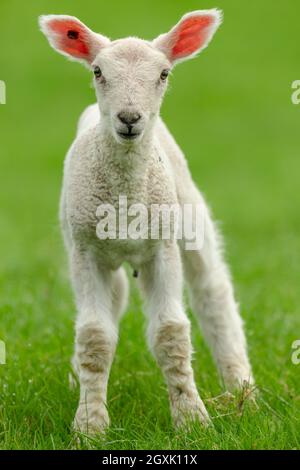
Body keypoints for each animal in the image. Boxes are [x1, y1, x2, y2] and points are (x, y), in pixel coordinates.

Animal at [39, 10, 253, 436]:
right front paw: (90, 423)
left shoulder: (161, 247)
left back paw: (242, 390)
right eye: (98, 71)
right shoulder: (86, 250)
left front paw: (192, 419)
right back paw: (76, 379)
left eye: (164, 73)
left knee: (212, 289)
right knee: (116, 298)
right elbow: (95, 336)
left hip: (187, 209)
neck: (125, 200)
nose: (129, 119)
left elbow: (171, 332)